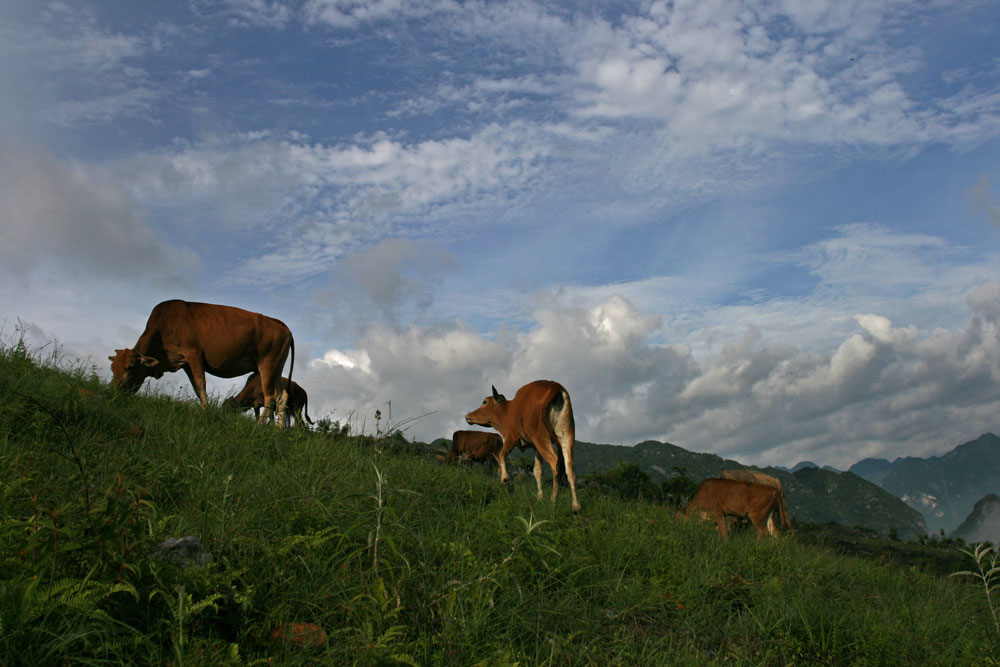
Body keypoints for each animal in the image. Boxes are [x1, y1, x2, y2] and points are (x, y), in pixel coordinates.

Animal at [112, 300, 296, 426]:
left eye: (130, 367)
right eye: (113, 368)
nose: (113, 391)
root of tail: (280, 324)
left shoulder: (193, 354)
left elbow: (201, 384)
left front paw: (204, 413)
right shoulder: (185, 362)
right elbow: (196, 388)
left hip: (267, 366)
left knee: (270, 397)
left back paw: (258, 427)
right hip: (276, 370)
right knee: (282, 396)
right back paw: (278, 430)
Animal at [460, 380, 580, 512]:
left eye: (485, 402)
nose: (468, 416)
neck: (508, 411)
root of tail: (554, 385)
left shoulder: (511, 438)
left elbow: (501, 455)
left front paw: (505, 479)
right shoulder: (535, 447)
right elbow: (537, 471)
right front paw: (539, 498)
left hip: (541, 437)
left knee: (555, 464)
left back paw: (553, 500)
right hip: (566, 436)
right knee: (569, 468)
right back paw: (575, 506)